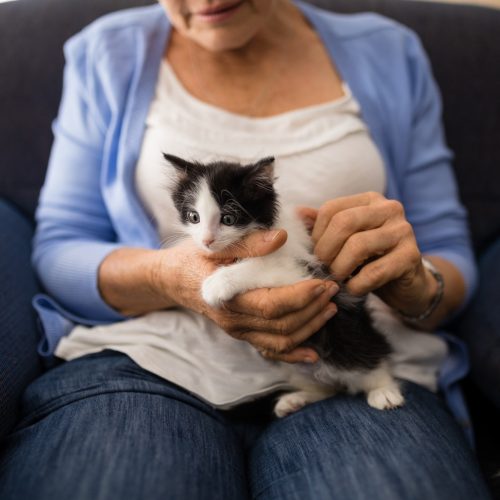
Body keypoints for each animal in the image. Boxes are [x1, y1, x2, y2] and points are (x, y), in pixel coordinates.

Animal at [165, 153, 406, 418]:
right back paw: (296, 399)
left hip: (348, 339)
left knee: (368, 359)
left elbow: (262, 266)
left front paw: (217, 284)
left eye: (228, 219)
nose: (207, 240)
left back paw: (384, 391)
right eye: (194, 217)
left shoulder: (309, 273)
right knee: (327, 388)